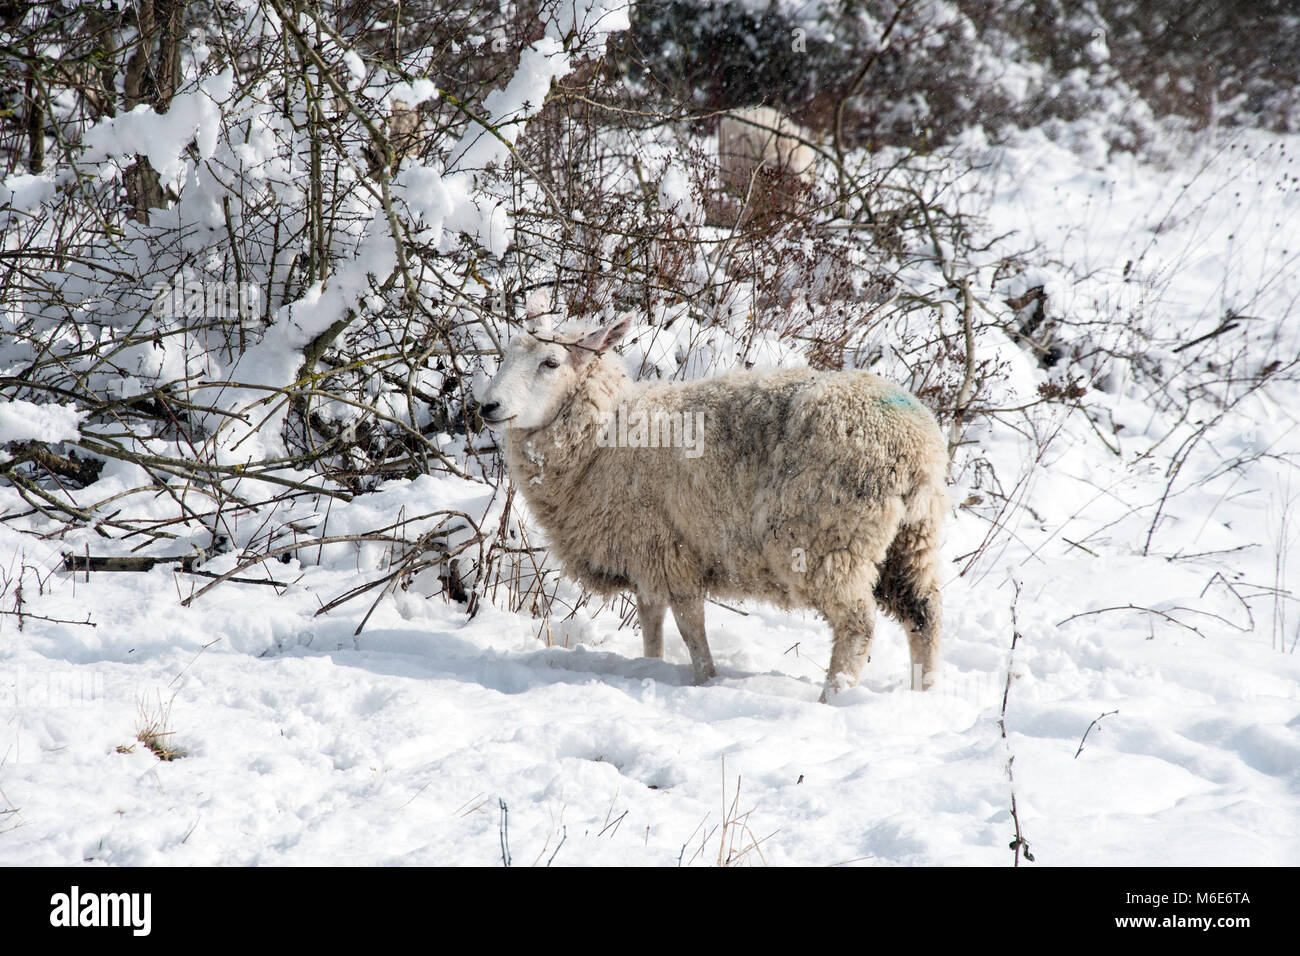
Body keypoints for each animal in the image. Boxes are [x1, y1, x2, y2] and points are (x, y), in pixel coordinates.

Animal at [483, 317, 951, 697]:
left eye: (550, 362)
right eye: (506, 355)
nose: (487, 406)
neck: (605, 435)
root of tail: (915, 444)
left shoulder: (668, 550)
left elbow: (690, 627)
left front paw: (705, 679)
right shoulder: (644, 553)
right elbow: (651, 624)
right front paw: (650, 667)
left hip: (829, 539)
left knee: (858, 625)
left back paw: (833, 698)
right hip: (911, 541)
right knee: (924, 615)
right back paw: (924, 696)